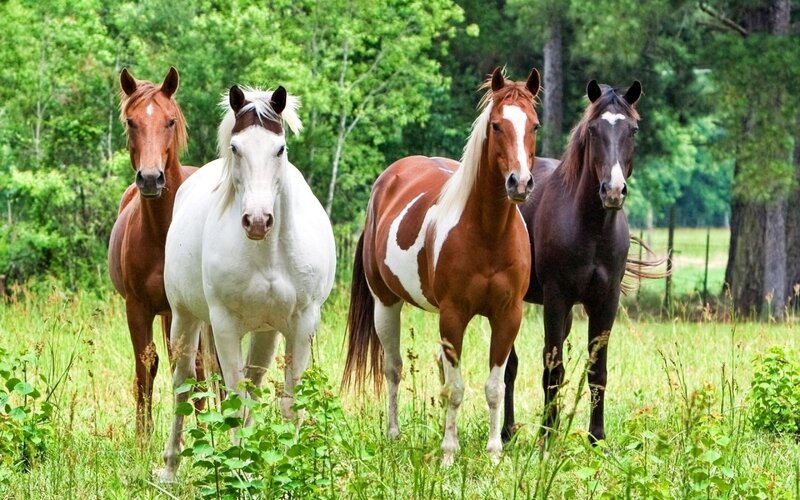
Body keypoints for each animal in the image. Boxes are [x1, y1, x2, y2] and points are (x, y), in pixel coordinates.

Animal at [108, 67, 203, 437]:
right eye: (131, 121)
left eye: (170, 121)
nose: (150, 179)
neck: (163, 232)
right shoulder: (137, 308)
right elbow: (145, 367)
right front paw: (142, 438)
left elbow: (195, 369)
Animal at [158, 85, 336, 482]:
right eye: (236, 147)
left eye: (279, 148)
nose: (257, 220)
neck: (268, 254)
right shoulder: (224, 325)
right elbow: (234, 400)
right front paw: (239, 471)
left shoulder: (303, 324)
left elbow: (287, 402)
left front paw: (288, 469)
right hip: (185, 318)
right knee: (182, 385)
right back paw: (170, 468)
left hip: (266, 332)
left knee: (251, 387)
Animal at [343, 67, 541, 465]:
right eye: (497, 125)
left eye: (535, 125)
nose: (520, 183)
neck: (489, 234)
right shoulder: (453, 315)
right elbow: (456, 388)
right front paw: (449, 453)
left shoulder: (508, 316)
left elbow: (493, 387)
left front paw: (494, 453)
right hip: (385, 304)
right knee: (393, 368)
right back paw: (393, 434)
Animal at [501, 79, 644, 445]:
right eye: (593, 130)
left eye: (632, 130)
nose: (613, 191)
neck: (591, 228)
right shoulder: (556, 298)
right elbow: (553, 369)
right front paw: (547, 437)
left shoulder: (606, 302)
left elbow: (597, 371)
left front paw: (597, 437)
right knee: (509, 364)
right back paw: (507, 431)